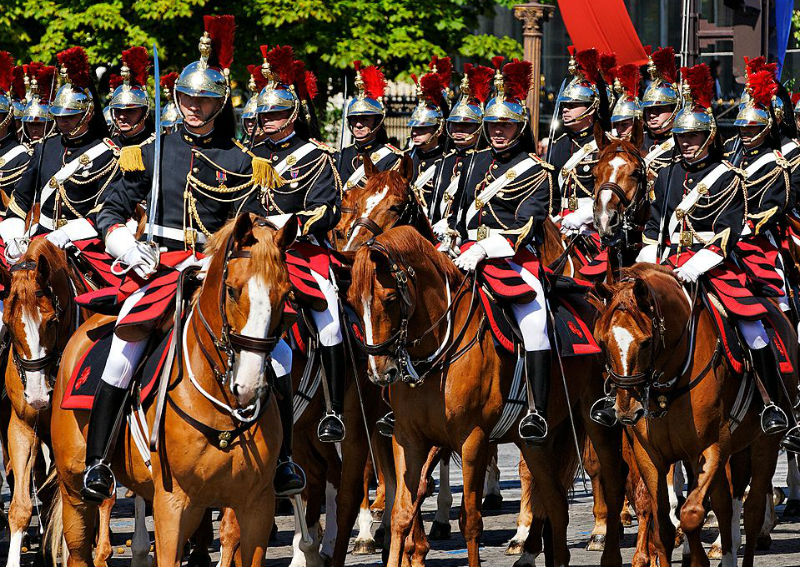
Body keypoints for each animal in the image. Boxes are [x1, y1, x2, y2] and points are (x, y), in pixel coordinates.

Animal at [51, 214, 296, 568]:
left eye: (286, 293)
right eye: (232, 290)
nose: (249, 385)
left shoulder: (256, 507)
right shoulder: (173, 504)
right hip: (74, 493)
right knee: (79, 551)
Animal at [346, 225, 628, 564]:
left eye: (389, 299)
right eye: (351, 301)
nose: (379, 372)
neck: (436, 353)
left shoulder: (473, 439)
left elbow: (470, 520)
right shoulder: (408, 439)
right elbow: (401, 512)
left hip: (596, 420)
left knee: (613, 479)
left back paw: (605, 548)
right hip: (534, 440)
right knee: (556, 500)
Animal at [592, 264, 792, 564]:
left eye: (646, 342)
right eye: (603, 342)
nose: (627, 409)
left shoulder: (712, 446)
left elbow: (691, 514)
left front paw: (697, 557)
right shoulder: (650, 454)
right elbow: (664, 527)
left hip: (764, 444)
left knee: (753, 511)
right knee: (726, 505)